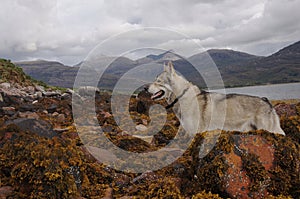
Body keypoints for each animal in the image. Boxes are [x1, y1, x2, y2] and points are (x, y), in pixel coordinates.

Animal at [148, 60, 286, 135]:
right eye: (154, 80)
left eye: (158, 81)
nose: (145, 88)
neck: (181, 96)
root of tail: (266, 101)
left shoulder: (198, 132)